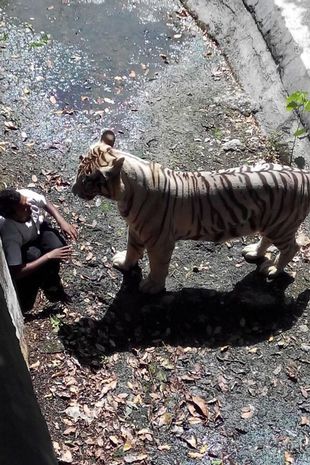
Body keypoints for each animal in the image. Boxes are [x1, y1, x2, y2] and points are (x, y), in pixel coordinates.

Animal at [71, 129, 310, 292]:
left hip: (282, 226)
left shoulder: (160, 242)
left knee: (293, 248)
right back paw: (254, 252)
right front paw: (124, 263)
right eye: (78, 169)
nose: (72, 190)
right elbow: (132, 249)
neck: (125, 193)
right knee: (267, 240)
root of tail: (303, 174)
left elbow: (158, 266)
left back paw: (273, 270)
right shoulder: (136, 230)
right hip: (268, 223)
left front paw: (151, 287)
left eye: (86, 180)